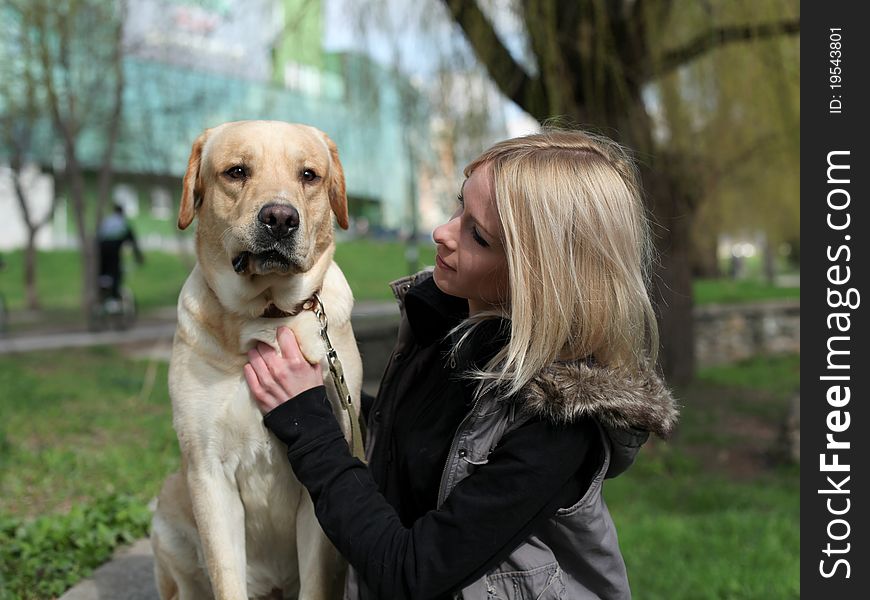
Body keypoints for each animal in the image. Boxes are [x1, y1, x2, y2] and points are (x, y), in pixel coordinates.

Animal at [152, 119, 362, 596]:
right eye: (236, 171)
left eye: (309, 175)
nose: (280, 219)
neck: (266, 313)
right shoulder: (208, 472)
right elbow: (225, 574)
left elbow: (317, 582)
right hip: (167, 515)